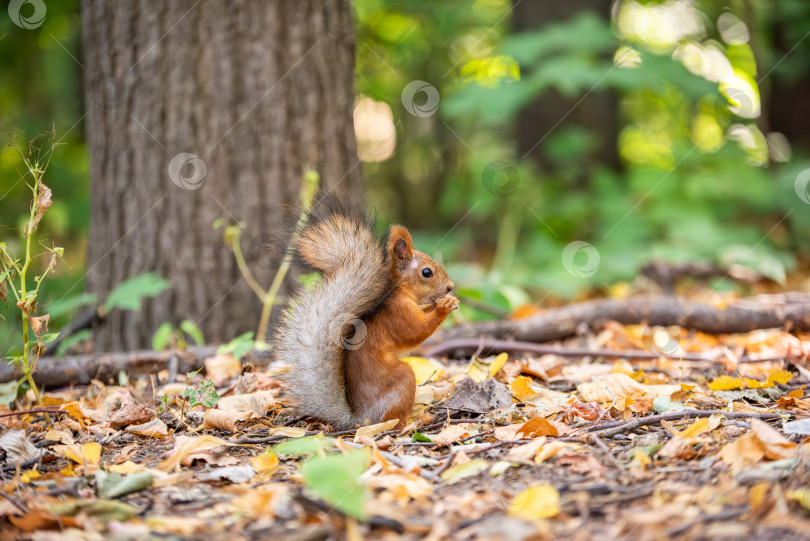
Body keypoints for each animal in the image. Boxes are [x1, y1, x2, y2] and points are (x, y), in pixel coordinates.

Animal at [274, 192, 458, 428]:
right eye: (427, 272)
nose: (450, 287)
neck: (401, 292)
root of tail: (359, 419)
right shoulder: (398, 314)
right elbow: (414, 333)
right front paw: (443, 307)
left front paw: (433, 304)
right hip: (403, 380)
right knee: (393, 421)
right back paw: (414, 421)